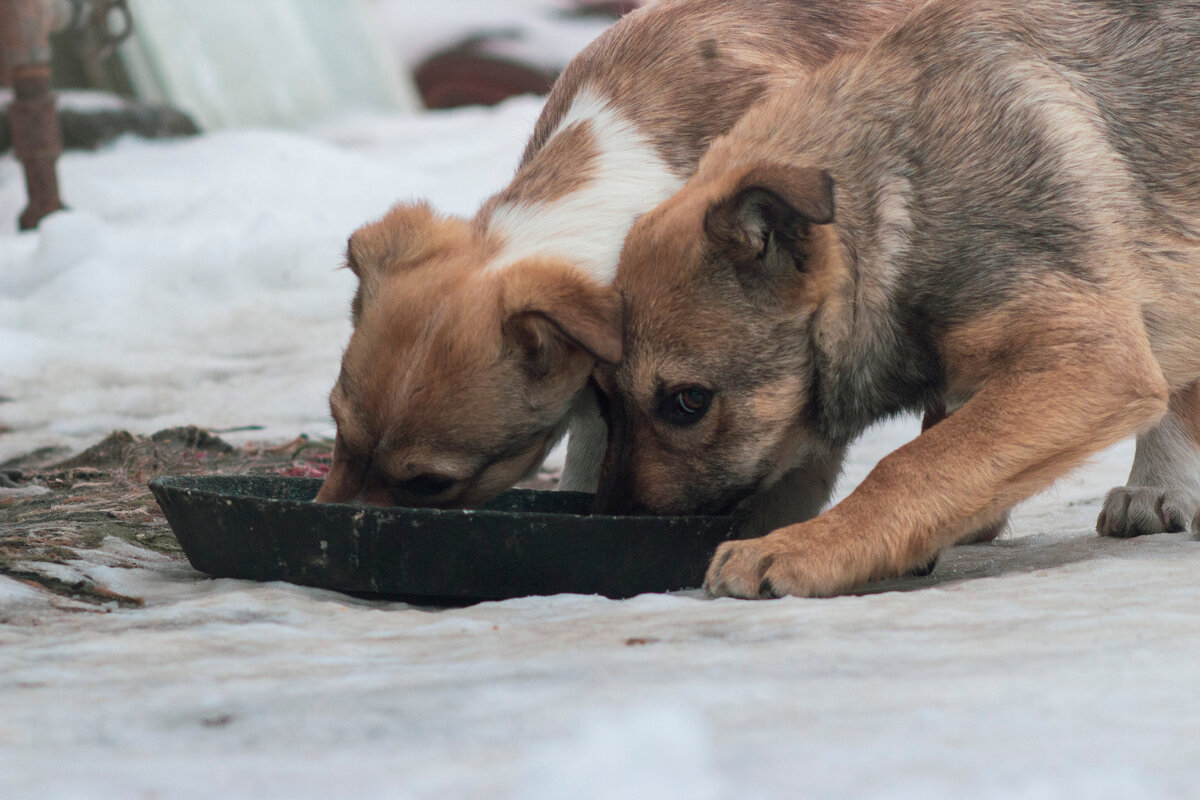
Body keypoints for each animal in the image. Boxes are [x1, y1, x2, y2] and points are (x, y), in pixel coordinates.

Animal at [600, 0, 1200, 597]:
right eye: (605, 399)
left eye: (688, 402)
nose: (619, 523)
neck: (901, 203)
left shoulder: (1090, 360)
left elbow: (912, 464)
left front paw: (799, 547)